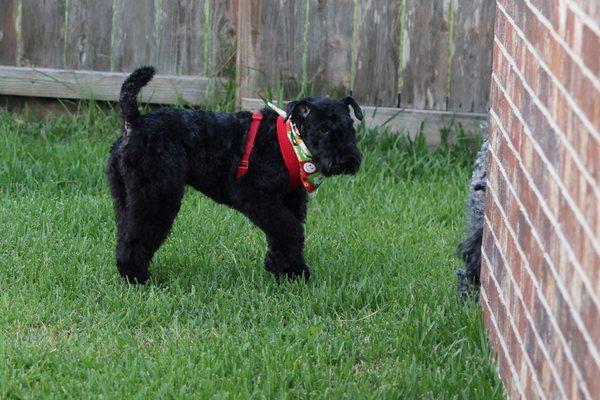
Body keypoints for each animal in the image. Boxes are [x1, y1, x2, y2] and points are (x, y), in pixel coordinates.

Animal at [106, 66, 364, 284]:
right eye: (324, 128)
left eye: (349, 126)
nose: (348, 160)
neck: (291, 144)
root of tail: (134, 124)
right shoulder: (254, 196)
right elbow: (290, 230)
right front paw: (281, 267)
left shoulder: (291, 202)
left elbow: (288, 235)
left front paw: (292, 272)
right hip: (157, 195)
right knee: (137, 235)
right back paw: (136, 276)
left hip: (127, 196)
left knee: (125, 231)